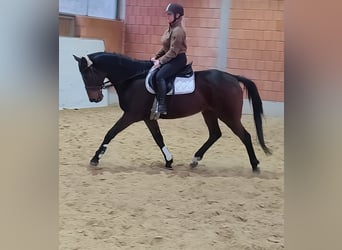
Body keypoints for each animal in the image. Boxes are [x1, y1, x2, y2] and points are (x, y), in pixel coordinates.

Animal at [73, 51, 272, 173]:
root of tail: (232, 77)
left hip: (228, 115)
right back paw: (195, 160)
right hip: (209, 113)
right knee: (215, 134)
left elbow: (110, 133)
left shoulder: (131, 116)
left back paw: (255, 166)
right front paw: (169, 161)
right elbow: (158, 138)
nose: (94, 99)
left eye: (87, 74)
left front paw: (95, 158)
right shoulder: (148, 118)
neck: (133, 79)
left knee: (245, 136)